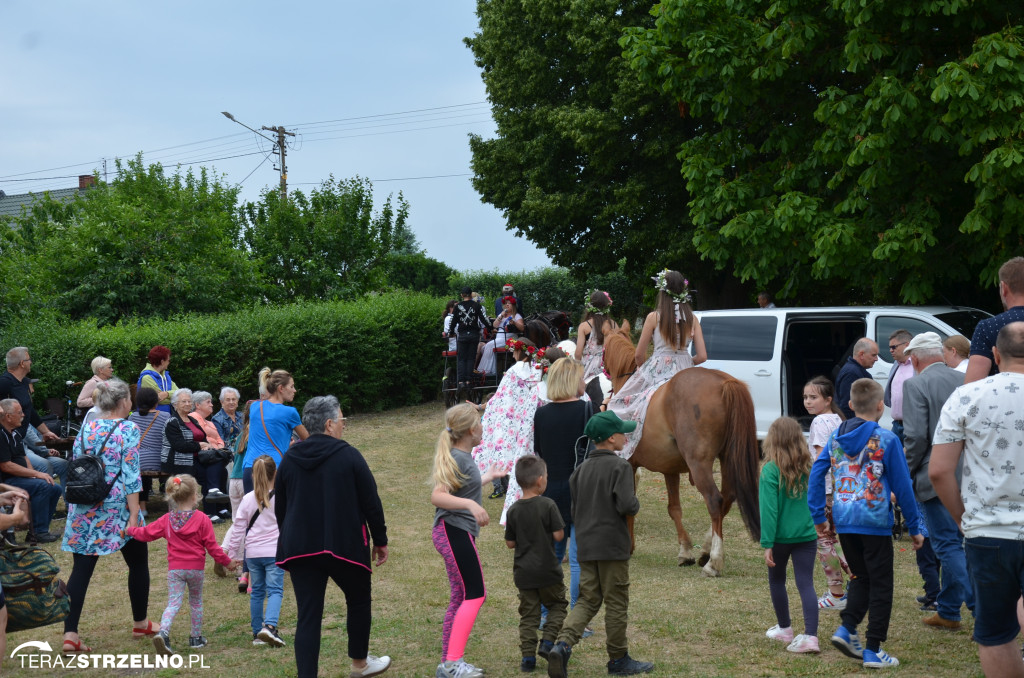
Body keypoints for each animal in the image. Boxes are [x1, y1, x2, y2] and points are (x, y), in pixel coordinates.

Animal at [598, 327, 761, 577]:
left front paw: (629, 546)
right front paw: (685, 551)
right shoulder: (670, 470)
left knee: (714, 500)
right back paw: (706, 550)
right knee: (727, 498)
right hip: (727, 459)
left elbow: (629, 506)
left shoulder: (629, 465)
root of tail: (724, 382)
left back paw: (713, 562)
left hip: (699, 463)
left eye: (603, 348)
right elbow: (674, 508)